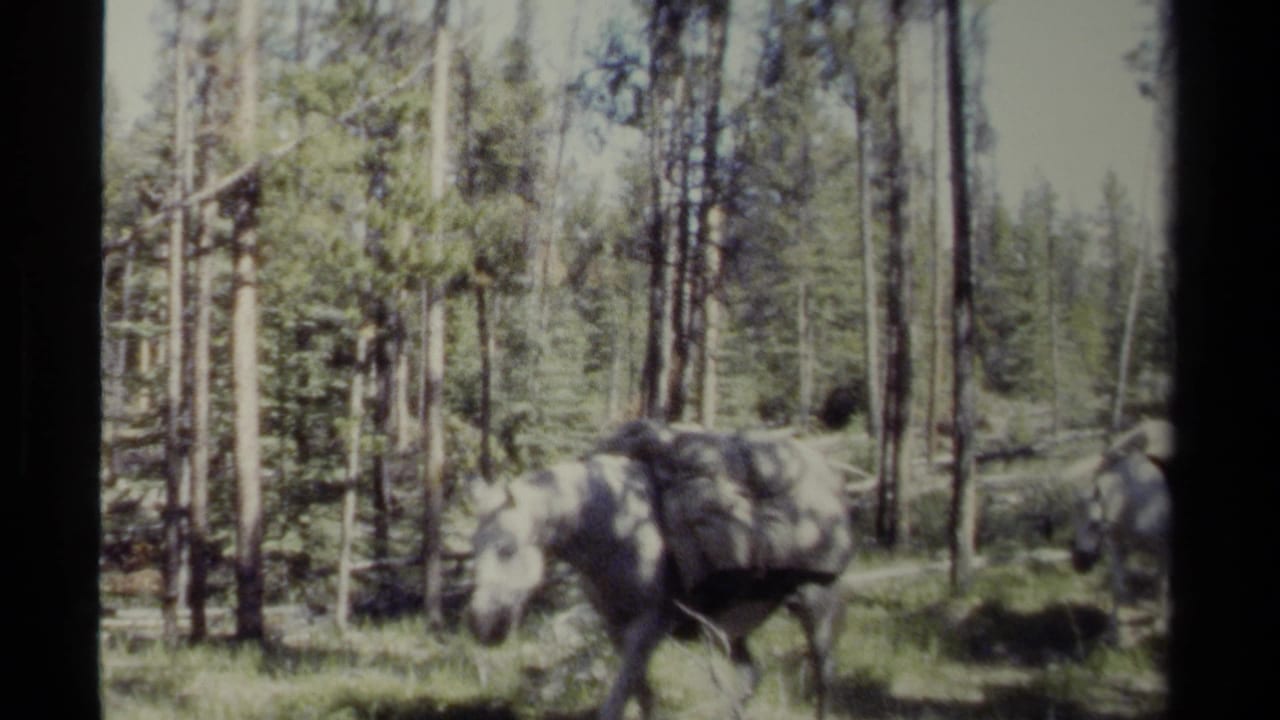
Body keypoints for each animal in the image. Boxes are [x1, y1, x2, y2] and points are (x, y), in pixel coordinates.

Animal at [466, 450, 851, 720]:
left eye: (506, 549)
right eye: (473, 548)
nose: (483, 627)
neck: (614, 525)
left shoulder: (648, 625)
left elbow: (619, 698)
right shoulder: (618, 628)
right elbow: (641, 693)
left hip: (819, 610)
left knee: (825, 681)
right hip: (730, 631)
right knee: (751, 675)